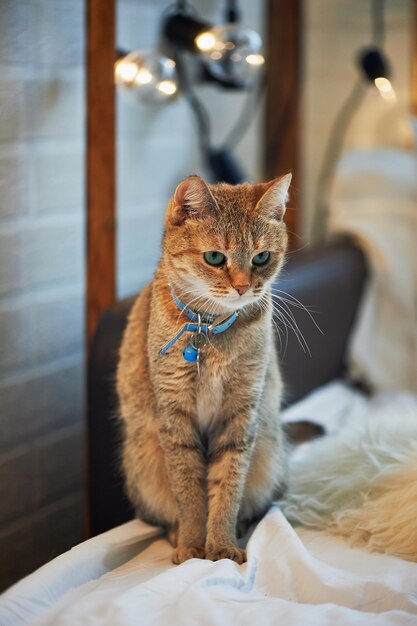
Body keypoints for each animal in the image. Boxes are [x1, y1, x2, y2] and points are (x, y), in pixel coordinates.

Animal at [117, 173, 290, 564]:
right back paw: (177, 533)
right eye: (214, 257)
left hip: (269, 454)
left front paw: (222, 544)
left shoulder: (240, 415)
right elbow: (190, 492)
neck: (211, 331)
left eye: (261, 257)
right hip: (143, 461)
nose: (243, 287)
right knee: (165, 515)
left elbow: (227, 486)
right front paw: (193, 545)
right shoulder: (175, 416)